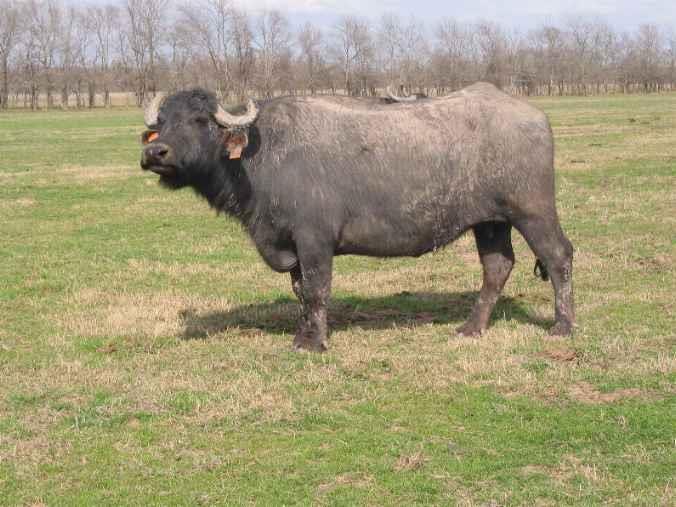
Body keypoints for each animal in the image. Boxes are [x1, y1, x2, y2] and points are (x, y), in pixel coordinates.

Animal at [139, 83, 574, 352]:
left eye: (199, 121)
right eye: (161, 122)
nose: (155, 153)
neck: (260, 156)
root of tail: (535, 117)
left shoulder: (314, 241)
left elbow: (318, 289)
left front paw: (314, 344)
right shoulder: (292, 247)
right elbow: (302, 293)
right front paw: (304, 334)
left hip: (532, 211)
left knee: (558, 257)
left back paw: (563, 326)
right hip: (490, 222)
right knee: (497, 267)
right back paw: (471, 328)